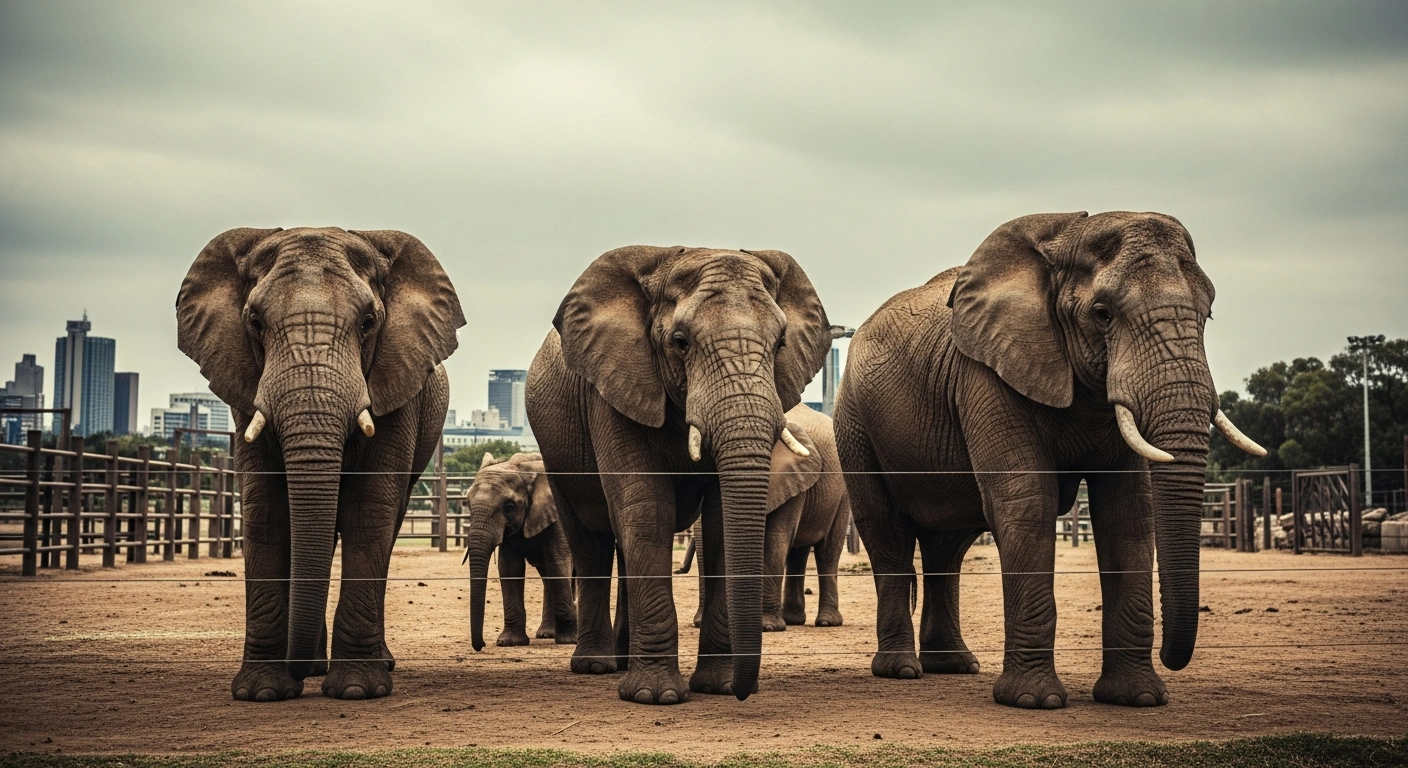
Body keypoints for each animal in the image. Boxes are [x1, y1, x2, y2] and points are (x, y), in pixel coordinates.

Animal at [176, 227, 465, 702]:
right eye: (254, 321)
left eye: (368, 322)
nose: (294, 669)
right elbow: (267, 511)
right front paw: (261, 692)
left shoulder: (397, 386)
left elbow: (369, 509)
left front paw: (358, 690)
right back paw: (312, 666)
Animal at [465, 451, 577, 651]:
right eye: (467, 504)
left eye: (509, 507)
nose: (481, 645)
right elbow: (509, 567)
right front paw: (508, 642)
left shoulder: (556, 513)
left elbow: (557, 560)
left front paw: (569, 640)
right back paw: (546, 633)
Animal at [526, 245, 832, 704]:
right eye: (680, 342)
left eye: (780, 343)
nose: (745, 693)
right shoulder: (615, 387)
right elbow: (649, 509)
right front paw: (654, 696)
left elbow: (721, 519)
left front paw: (719, 686)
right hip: (557, 455)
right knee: (592, 540)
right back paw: (597, 666)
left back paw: (621, 660)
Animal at [686, 403, 849, 631]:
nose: (698, 623)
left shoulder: (791, 479)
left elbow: (775, 539)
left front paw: (768, 626)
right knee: (797, 555)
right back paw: (793, 620)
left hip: (841, 493)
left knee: (828, 551)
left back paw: (827, 622)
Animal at [833, 212, 1266, 709]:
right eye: (1102, 313)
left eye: (1208, 314)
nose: (1172, 657)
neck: (1066, 237)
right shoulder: (986, 374)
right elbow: (1026, 501)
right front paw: (1033, 702)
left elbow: (1128, 513)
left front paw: (1136, 699)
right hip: (854, 424)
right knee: (887, 532)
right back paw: (901, 670)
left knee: (948, 544)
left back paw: (954, 667)